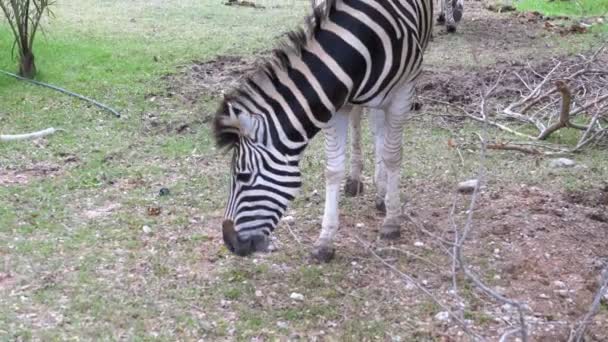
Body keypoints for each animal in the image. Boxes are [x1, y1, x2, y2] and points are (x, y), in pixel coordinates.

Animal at [213, 0, 432, 262]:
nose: (229, 243)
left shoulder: (403, 92)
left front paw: (392, 221)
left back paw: (382, 194)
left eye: (243, 176)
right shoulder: (334, 104)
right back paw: (360, 181)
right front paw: (325, 241)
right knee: (364, 122)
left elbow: (392, 155)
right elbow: (333, 170)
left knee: (380, 128)